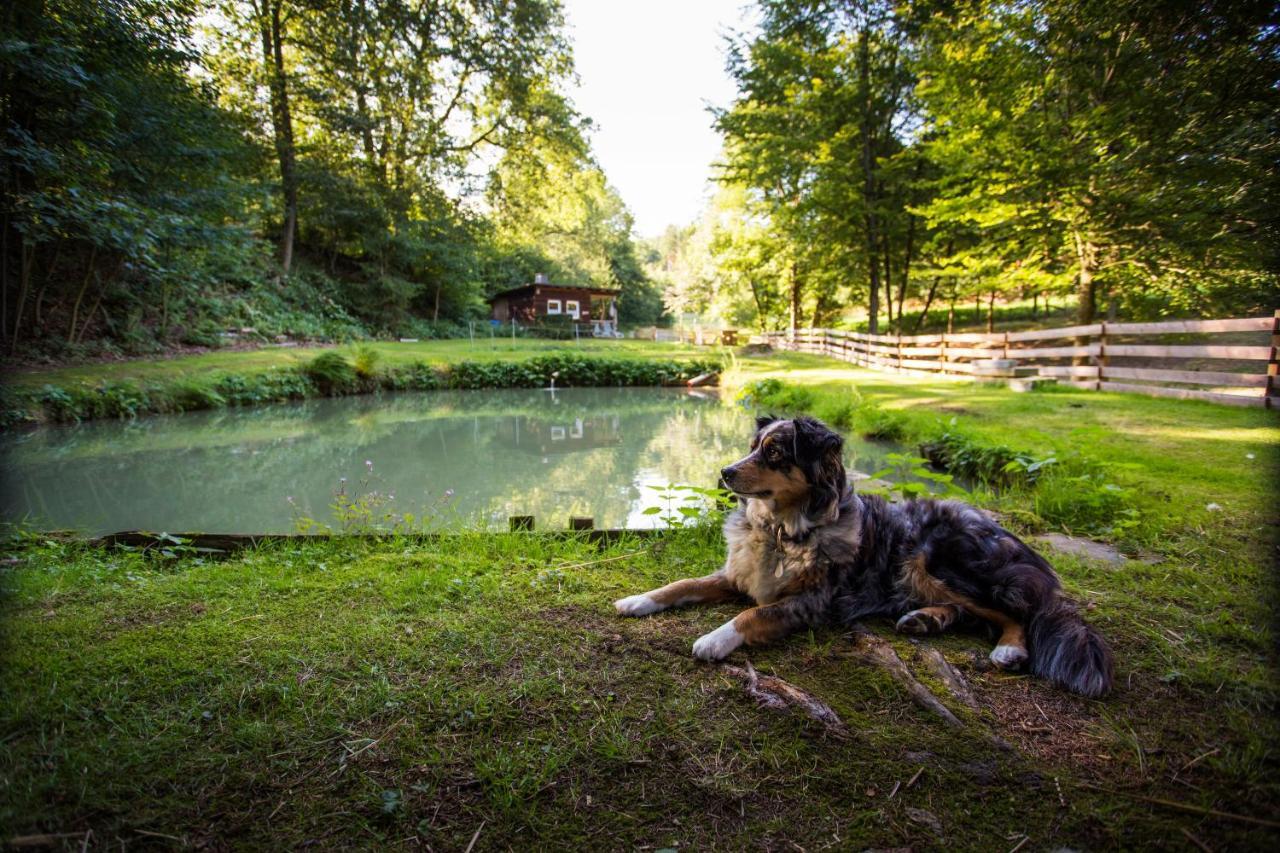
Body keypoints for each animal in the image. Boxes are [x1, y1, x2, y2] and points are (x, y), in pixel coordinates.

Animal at [614, 412, 1116, 696]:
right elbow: (683, 583)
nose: (724, 471)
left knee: (1014, 613)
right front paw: (639, 600)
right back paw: (923, 620)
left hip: (935, 557)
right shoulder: (737, 574)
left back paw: (1008, 649)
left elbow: (751, 615)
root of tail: (1012, 540)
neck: (782, 531)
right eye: (753, 447)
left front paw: (714, 639)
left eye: (774, 454)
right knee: (968, 612)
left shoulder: (812, 602)